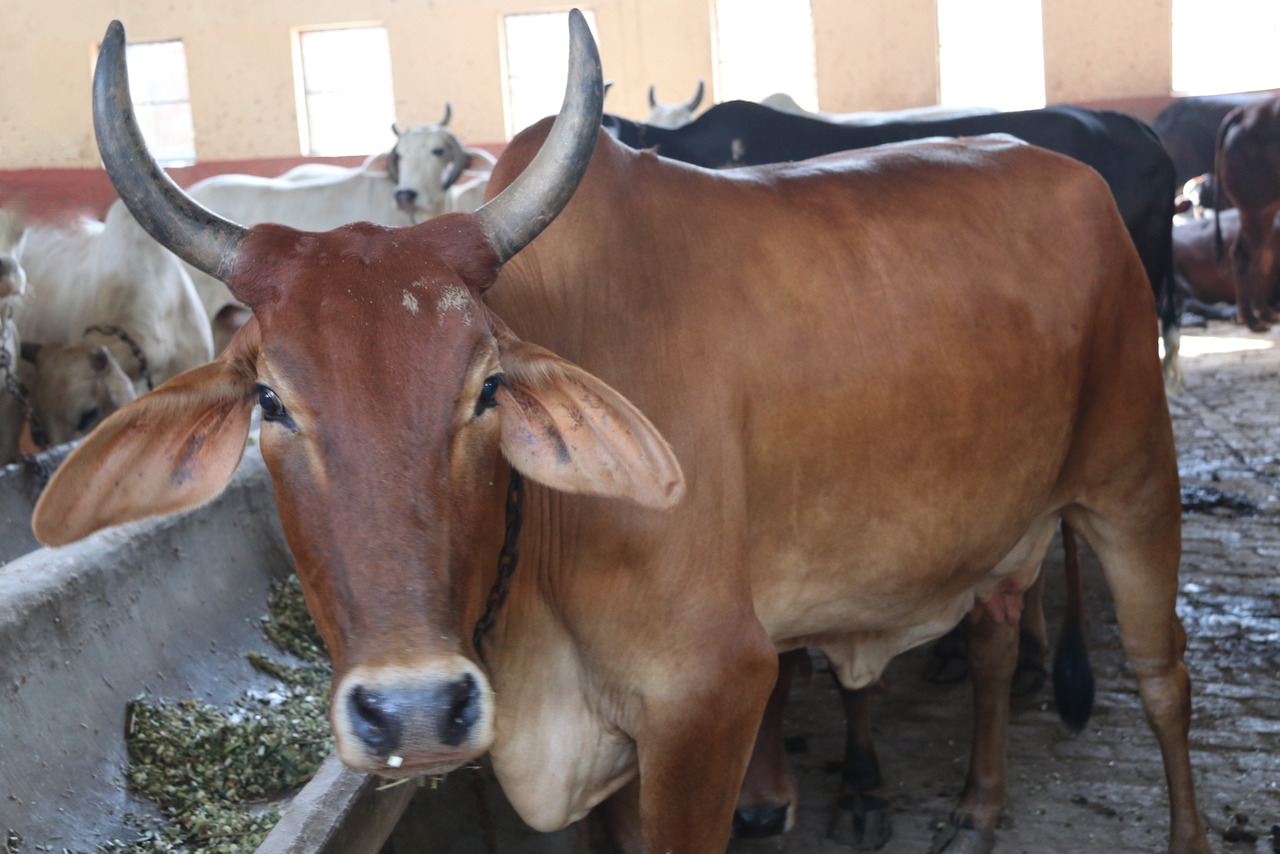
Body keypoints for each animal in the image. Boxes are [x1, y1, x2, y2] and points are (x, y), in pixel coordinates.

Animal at [1213, 93, 1280, 332]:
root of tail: (1242, 113)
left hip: (1261, 212)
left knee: (1250, 254)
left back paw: (1263, 313)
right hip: (1255, 211)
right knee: (1247, 254)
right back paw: (1252, 320)